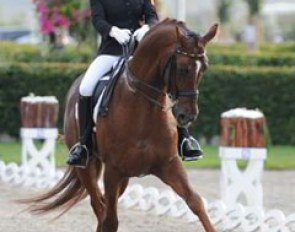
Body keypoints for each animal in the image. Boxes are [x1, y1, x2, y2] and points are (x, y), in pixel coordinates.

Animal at [24, 19, 219, 232]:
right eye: (183, 68)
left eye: (205, 67)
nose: (188, 115)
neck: (142, 109)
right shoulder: (113, 170)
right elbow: (110, 220)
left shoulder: (169, 164)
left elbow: (196, 202)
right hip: (87, 167)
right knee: (98, 205)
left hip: (124, 178)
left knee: (102, 207)